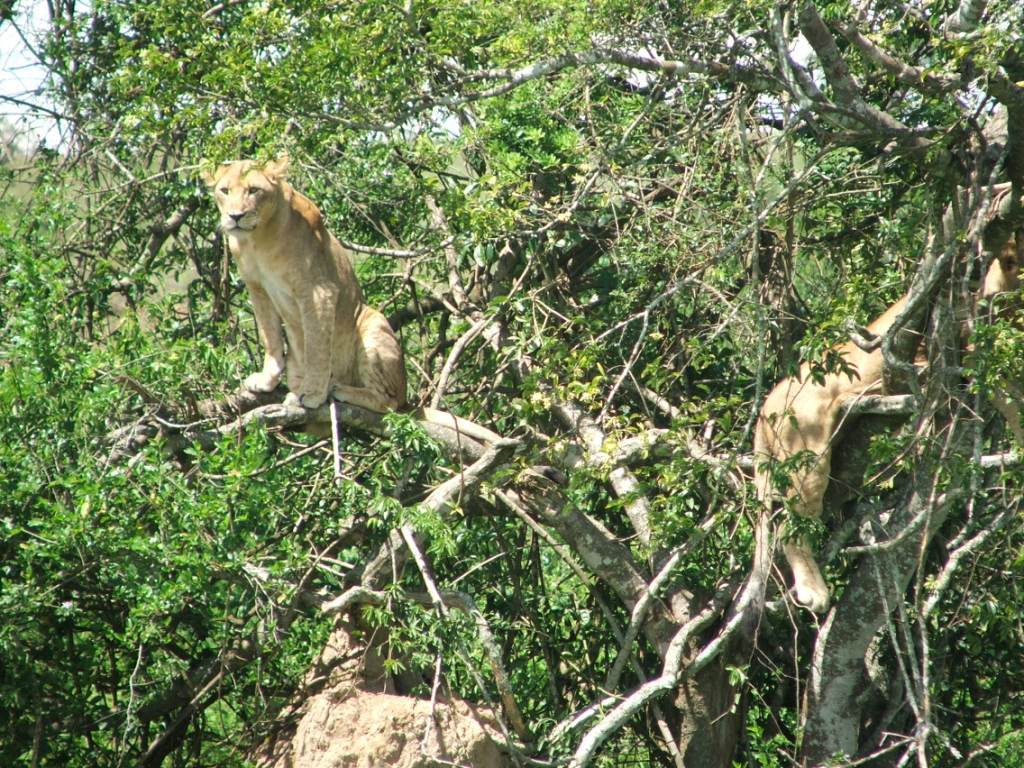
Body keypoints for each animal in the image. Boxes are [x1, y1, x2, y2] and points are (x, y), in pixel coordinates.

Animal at [757, 237, 1019, 618]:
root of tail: (764, 407)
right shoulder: (973, 342)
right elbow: (1012, 396)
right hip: (806, 453)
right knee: (790, 527)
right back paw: (813, 591)